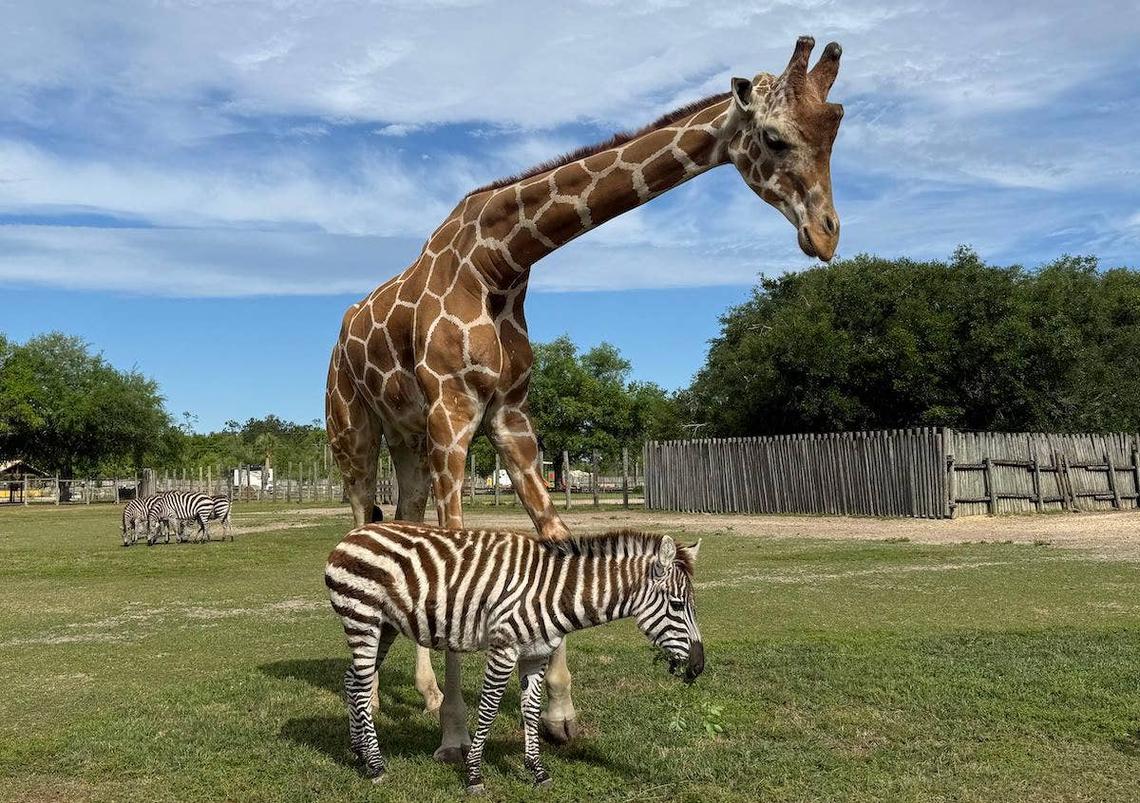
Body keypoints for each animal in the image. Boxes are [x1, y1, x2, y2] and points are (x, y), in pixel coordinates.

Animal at [325, 523, 704, 794]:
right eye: (677, 605)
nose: (698, 667)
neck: (554, 593)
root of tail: (353, 535)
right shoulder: (504, 649)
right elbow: (489, 709)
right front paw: (474, 774)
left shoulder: (535, 655)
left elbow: (531, 711)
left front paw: (537, 770)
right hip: (362, 618)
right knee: (361, 685)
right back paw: (376, 765)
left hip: (384, 626)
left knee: (352, 681)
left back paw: (359, 754)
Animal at [326, 35, 845, 763]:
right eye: (773, 137)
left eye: (835, 130)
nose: (826, 234)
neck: (502, 263)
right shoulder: (454, 415)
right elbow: (460, 548)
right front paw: (455, 733)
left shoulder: (510, 416)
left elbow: (554, 540)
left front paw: (559, 715)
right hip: (353, 430)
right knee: (361, 519)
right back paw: (382, 690)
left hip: (406, 438)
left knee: (404, 521)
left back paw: (416, 685)